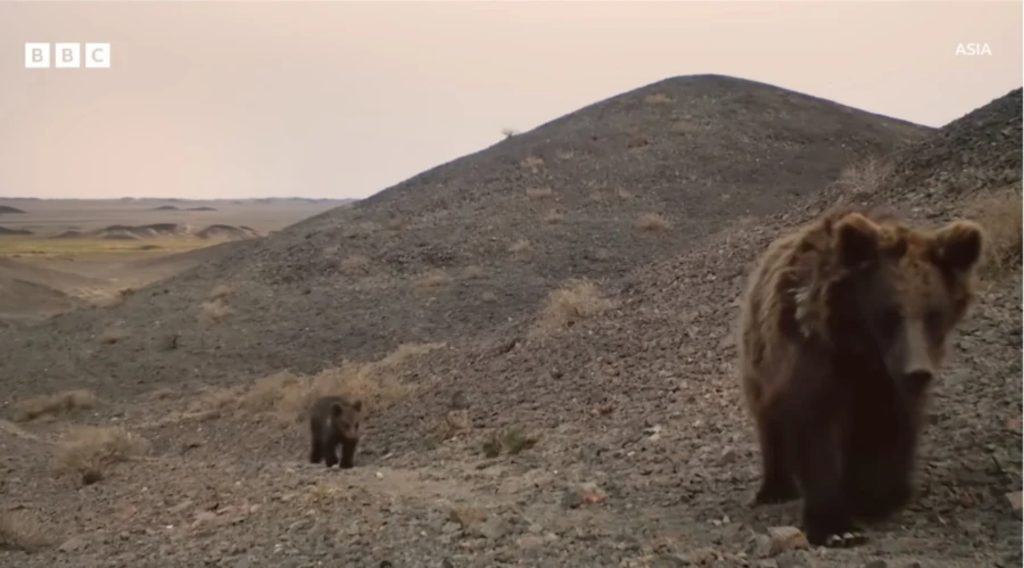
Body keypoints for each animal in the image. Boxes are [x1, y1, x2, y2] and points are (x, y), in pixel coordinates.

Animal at [738, 210, 983, 546]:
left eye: (934, 314)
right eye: (890, 313)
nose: (918, 371)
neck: (862, 350)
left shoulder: (886, 385)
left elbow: (890, 429)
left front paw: (876, 495)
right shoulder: (812, 363)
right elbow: (816, 432)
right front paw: (835, 525)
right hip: (759, 361)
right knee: (770, 423)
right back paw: (775, 488)